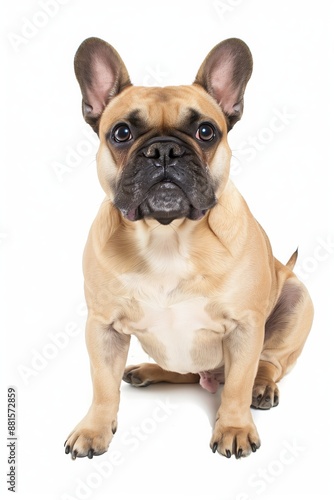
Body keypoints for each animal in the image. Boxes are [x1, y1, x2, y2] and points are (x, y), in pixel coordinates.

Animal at [63, 37, 314, 460]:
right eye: (121, 132)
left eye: (206, 131)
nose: (164, 150)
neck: (168, 236)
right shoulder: (103, 326)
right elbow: (102, 385)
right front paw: (94, 428)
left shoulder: (245, 326)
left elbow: (238, 385)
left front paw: (234, 427)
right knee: (185, 373)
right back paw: (148, 371)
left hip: (298, 299)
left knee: (266, 365)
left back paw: (262, 386)